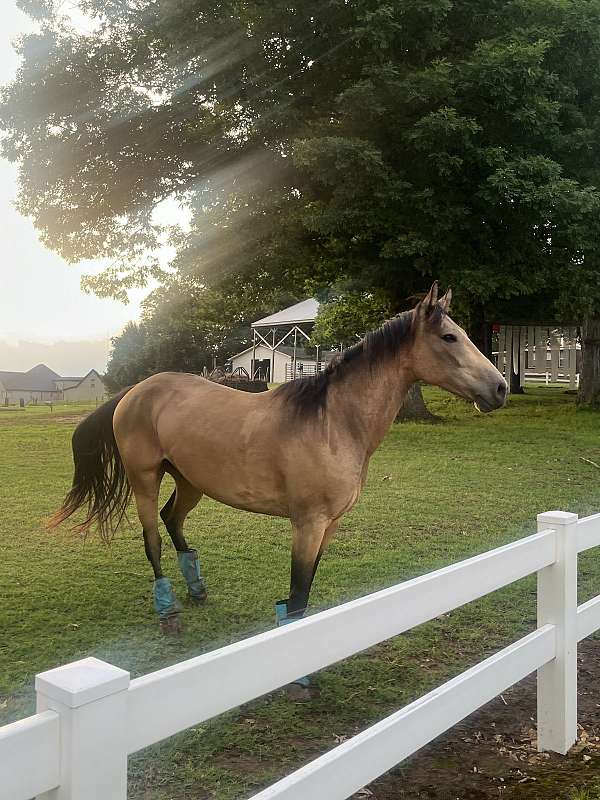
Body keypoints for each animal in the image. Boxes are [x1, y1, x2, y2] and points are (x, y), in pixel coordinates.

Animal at [49, 284, 506, 660]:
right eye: (449, 337)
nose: (500, 388)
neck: (331, 422)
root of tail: (135, 390)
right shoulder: (307, 524)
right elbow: (298, 595)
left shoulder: (330, 525)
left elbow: (305, 591)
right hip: (145, 478)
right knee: (153, 539)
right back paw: (169, 613)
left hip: (190, 481)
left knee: (172, 520)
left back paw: (197, 590)